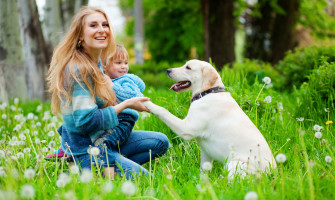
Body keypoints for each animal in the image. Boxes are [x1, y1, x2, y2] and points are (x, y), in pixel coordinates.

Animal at [143, 58, 276, 179]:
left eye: (188, 67)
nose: (168, 70)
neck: (208, 92)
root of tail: (272, 174)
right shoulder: (205, 153)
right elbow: (203, 173)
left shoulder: (186, 129)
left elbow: (163, 110)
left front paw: (146, 103)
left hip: (234, 164)